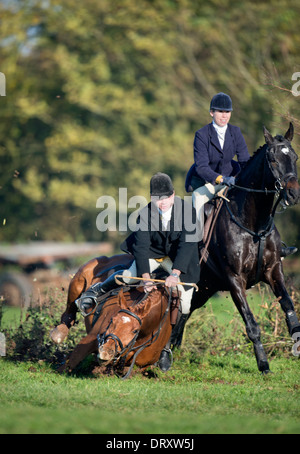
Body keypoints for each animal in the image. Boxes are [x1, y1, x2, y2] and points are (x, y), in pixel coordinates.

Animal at [183, 123, 300, 372]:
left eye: (295, 157)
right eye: (273, 159)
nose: (294, 194)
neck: (253, 223)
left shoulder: (273, 270)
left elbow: (288, 307)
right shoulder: (235, 279)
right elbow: (252, 324)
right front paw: (263, 364)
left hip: (204, 288)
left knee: (182, 314)